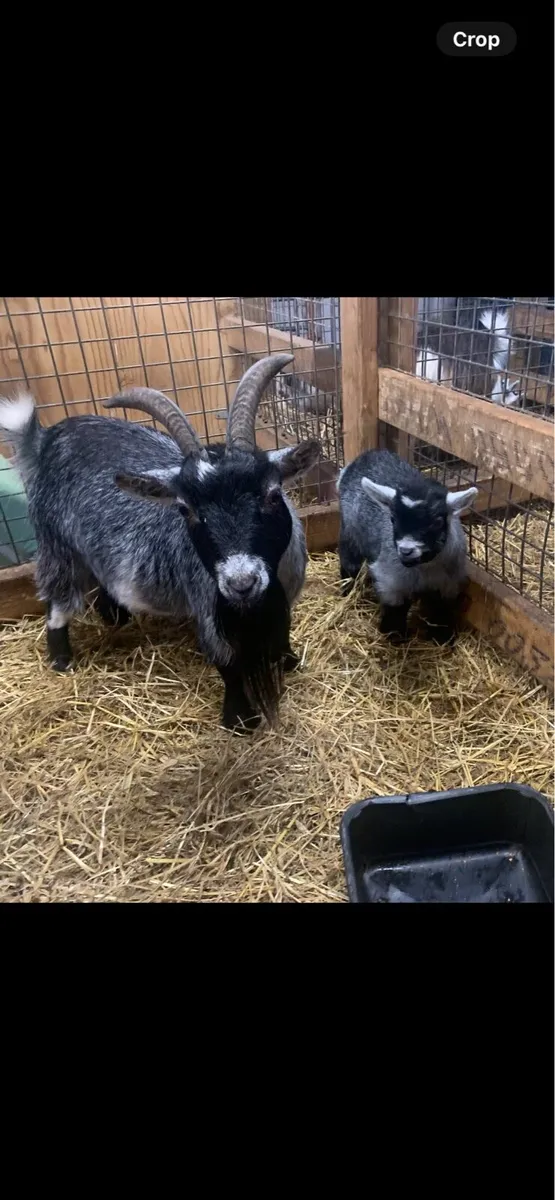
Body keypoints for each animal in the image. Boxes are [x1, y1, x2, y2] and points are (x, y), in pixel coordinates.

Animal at [0, 355, 320, 733]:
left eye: (272, 494)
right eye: (186, 509)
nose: (241, 583)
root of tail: (47, 439)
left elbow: (281, 637)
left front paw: (288, 661)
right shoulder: (207, 603)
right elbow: (227, 663)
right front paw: (239, 718)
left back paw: (116, 617)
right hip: (57, 545)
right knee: (57, 602)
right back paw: (62, 659)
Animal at [338, 449, 477, 644]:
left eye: (437, 522)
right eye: (393, 519)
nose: (406, 550)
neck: (426, 568)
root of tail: (368, 455)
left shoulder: (449, 582)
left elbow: (441, 610)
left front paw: (442, 637)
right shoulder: (391, 580)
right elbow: (396, 609)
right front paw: (394, 636)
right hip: (350, 530)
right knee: (349, 561)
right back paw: (347, 590)